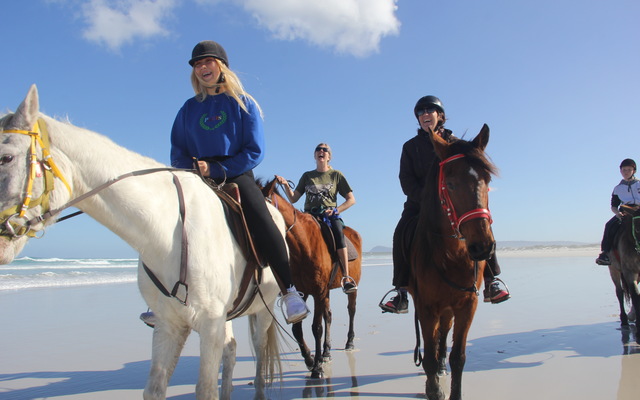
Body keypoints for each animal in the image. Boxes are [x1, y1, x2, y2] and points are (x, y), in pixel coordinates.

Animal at [0, 85, 283, 400]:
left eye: (6, 158)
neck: (165, 232)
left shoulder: (209, 324)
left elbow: (205, 388)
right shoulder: (170, 324)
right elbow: (155, 388)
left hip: (264, 308)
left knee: (260, 349)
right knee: (231, 350)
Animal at [260, 178, 362, 379]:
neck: (302, 246)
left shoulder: (318, 292)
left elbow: (316, 328)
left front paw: (317, 368)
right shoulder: (304, 292)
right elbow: (297, 329)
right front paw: (310, 359)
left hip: (349, 288)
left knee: (351, 310)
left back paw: (349, 342)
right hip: (326, 291)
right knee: (328, 316)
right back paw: (326, 352)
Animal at [408, 124, 497, 400]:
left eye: (487, 181)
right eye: (450, 184)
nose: (483, 247)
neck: (452, 257)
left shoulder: (467, 305)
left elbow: (458, 357)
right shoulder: (426, 307)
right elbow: (427, 357)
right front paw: (434, 389)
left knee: (443, 336)